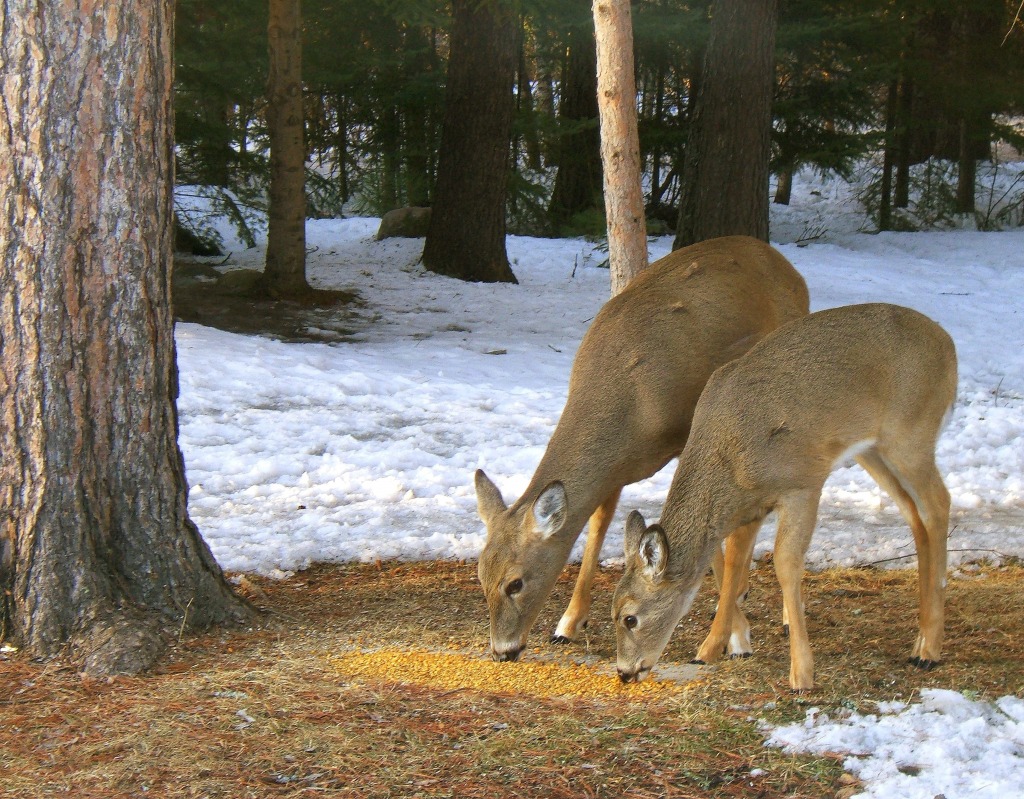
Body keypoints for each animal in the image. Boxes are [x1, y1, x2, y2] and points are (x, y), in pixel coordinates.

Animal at [477, 235, 806, 659]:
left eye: (515, 582)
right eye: (481, 576)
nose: (503, 650)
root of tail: (790, 269)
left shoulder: (687, 435)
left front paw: (737, 636)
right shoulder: (617, 468)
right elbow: (600, 520)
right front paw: (567, 622)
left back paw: (780, 615)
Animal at [614, 303, 958, 688]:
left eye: (630, 618)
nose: (624, 671)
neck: (730, 458)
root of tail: (947, 344)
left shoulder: (803, 484)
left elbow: (785, 563)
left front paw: (801, 673)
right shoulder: (750, 505)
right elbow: (734, 565)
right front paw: (711, 648)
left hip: (911, 434)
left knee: (938, 504)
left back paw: (929, 650)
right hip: (872, 451)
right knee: (915, 515)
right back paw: (919, 641)